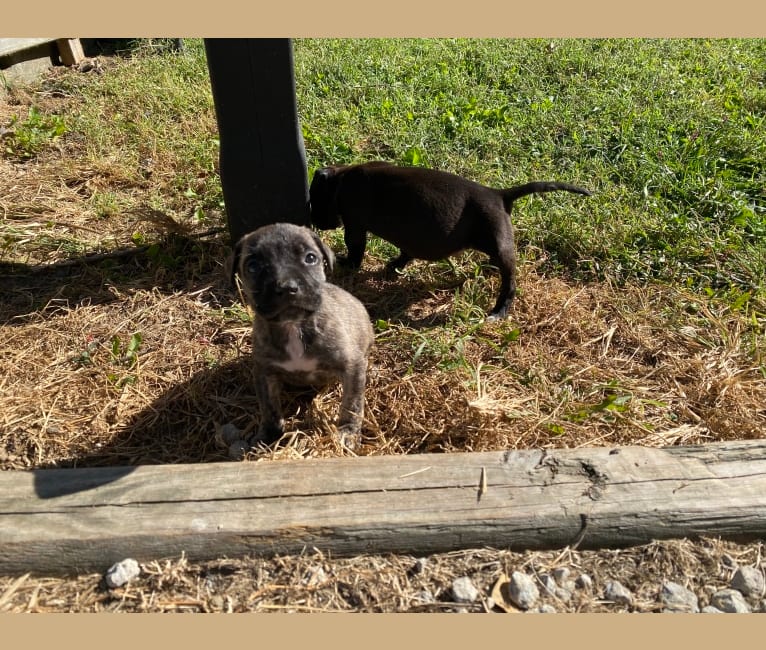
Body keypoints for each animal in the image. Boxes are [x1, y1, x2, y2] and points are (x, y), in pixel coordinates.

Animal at [231, 223, 376, 450]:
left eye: (310, 258)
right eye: (253, 266)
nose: (287, 287)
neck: (294, 325)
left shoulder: (352, 367)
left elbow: (352, 403)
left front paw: (348, 432)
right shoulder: (264, 372)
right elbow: (269, 407)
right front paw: (270, 434)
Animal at [312, 162, 592, 318]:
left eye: (313, 200)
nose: (316, 223)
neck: (341, 179)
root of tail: (500, 195)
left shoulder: (355, 226)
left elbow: (355, 250)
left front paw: (346, 263)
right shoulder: (408, 238)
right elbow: (405, 253)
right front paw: (394, 267)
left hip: (501, 248)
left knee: (509, 283)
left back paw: (500, 311)